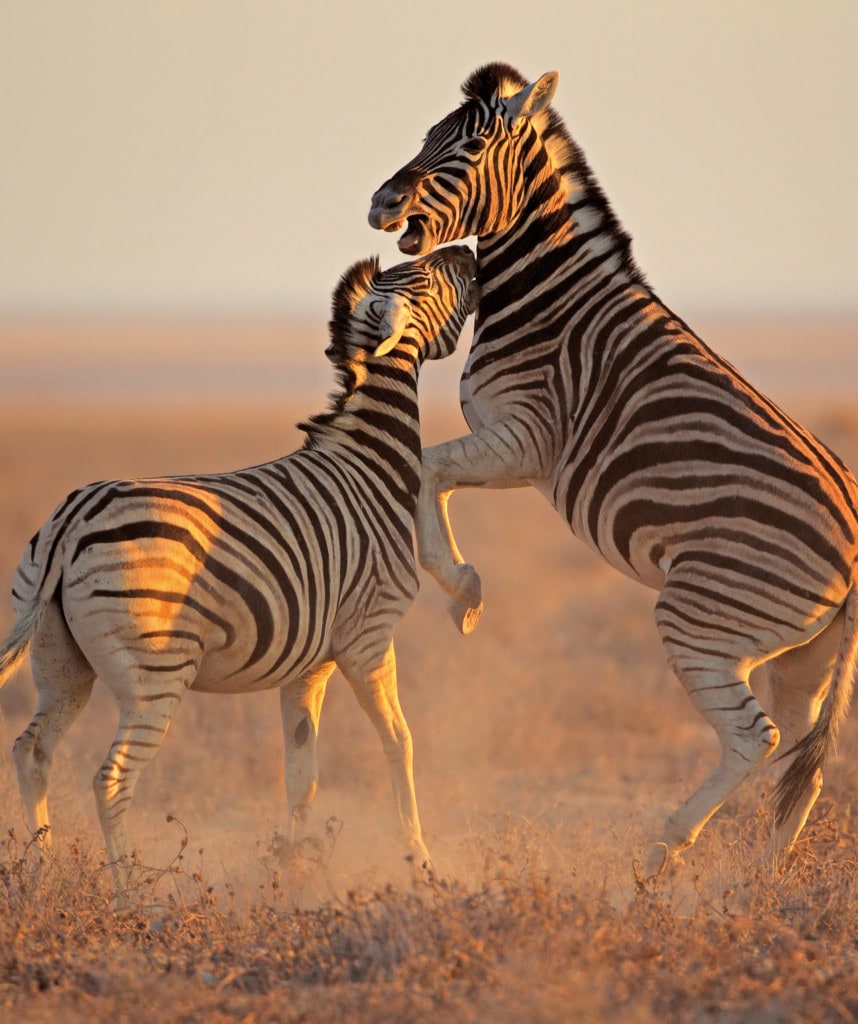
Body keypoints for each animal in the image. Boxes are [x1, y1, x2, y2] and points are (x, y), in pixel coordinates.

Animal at [0, 245, 476, 889]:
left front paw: (292, 872)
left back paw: (42, 871)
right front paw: (421, 864)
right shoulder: (369, 636)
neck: (369, 463)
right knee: (111, 779)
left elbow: (302, 773)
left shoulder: (311, 662)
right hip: (156, 675)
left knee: (33, 752)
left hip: (60, 661)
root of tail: (70, 521)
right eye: (427, 276)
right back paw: (131, 895)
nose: (469, 253)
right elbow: (399, 742)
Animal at [368, 62, 858, 876]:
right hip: (806, 655)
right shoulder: (518, 451)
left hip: (702, 616)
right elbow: (431, 474)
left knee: (755, 739)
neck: (547, 297)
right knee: (803, 761)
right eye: (427, 137)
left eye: (467, 149)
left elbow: (428, 470)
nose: (380, 202)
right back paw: (758, 887)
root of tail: (855, 543)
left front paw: (463, 590)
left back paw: (661, 853)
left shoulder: (527, 437)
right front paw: (462, 589)